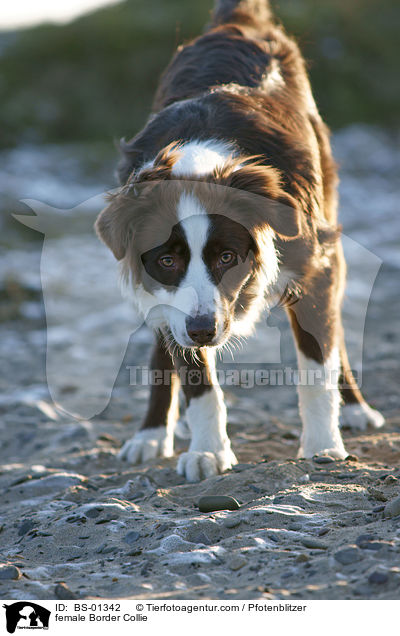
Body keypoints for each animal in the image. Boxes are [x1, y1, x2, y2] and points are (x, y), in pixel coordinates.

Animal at [94, 0, 384, 480]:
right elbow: (195, 378)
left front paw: (322, 445)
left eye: (228, 257)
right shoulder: (172, 300)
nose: (203, 331)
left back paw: (355, 408)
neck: (199, 164)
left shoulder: (313, 266)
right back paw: (151, 434)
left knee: (335, 330)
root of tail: (237, 21)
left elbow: (315, 366)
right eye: (167, 261)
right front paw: (209, 451)